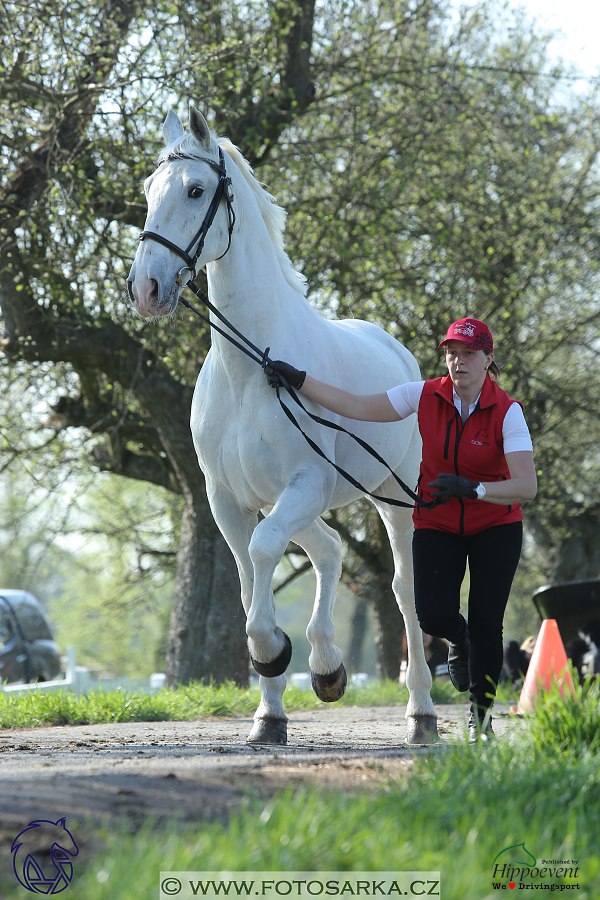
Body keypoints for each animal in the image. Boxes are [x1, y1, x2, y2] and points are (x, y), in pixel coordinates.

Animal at [127, 105, 436, 740]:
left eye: (195, 190)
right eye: (148, 190)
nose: (146, 288)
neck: (253, 370)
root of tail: (395, 349)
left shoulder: (303, 486)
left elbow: (267, 553)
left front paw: (277, 652)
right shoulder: (229, 501)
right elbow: (252, 583)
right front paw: (269, 712)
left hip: (391, 497)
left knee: (403, 588)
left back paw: (420, 712)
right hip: (301, 502)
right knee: (329, 550)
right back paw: (327, 667)